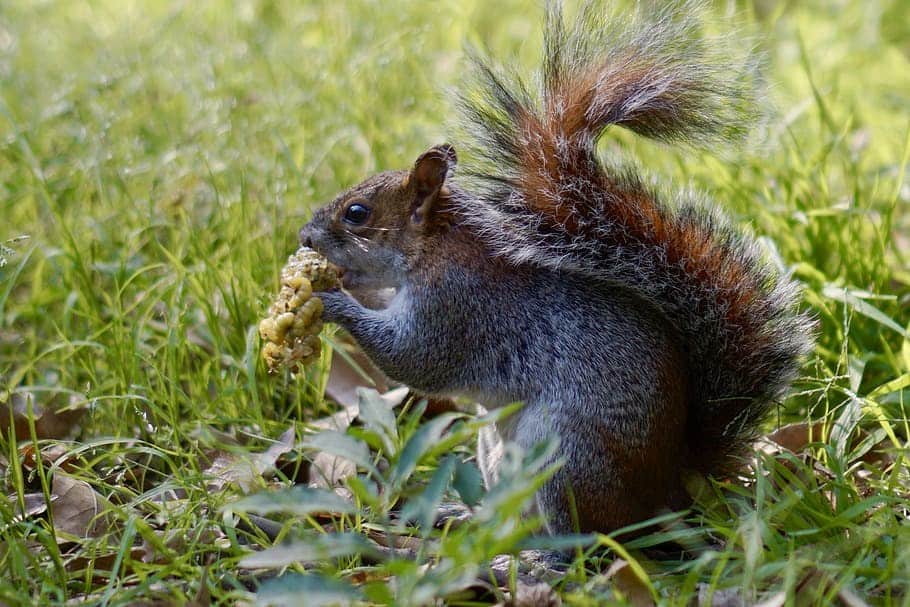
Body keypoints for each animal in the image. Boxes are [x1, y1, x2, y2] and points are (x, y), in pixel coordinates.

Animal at [297, 1, 814, 535]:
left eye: (357, 213)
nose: (305, 238)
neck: (431, 250)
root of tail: (670, 488)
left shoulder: (458, 306)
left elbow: (414, 359)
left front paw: (330, 299)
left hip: (566, 457)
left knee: (590, 536)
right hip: (495, 447)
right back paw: (467, 516)